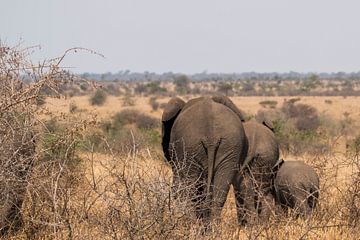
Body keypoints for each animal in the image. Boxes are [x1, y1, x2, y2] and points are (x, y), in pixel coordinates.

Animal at [162, 95, 249, 227]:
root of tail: (211, 138)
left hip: (189, 148)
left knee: (190, 189)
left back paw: (192, 224)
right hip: (230, 146)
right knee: (219, 192)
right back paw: (213, 228)